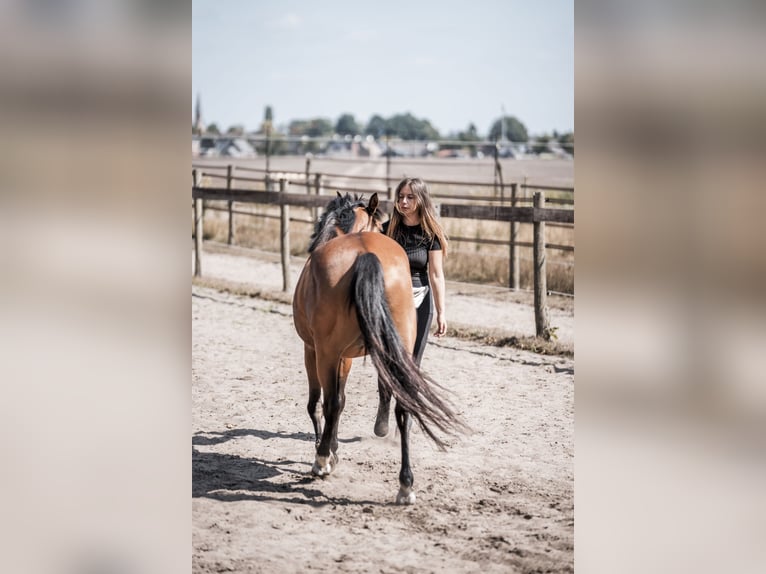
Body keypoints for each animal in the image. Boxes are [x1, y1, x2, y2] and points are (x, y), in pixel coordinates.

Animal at [292, 191, 465, 504]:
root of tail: (366, 255)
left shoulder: (315, 350)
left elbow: (320, 403)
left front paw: (328, 451)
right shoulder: (344, 357)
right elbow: (341, 401)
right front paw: (334, 449)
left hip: (326, 353)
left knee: (328, 402)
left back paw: (320, 462)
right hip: (401, 350)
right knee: (404, 407)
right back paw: (406, 486)